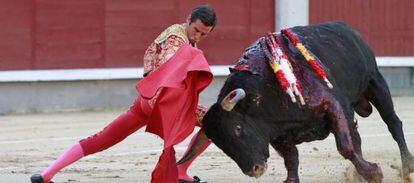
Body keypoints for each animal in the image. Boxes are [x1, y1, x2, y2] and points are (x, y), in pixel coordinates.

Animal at [179, 21, 414, 182]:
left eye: (237, 129)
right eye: (219, 143)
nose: (254, 170)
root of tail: (346, 29)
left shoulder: (332, 106)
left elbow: (345, 147)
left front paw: (374, 173)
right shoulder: (278, 135)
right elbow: (292, 160)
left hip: (376, 83)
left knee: (393, 123)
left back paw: (406, 167)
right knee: (357, 138)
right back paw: (358, 176)